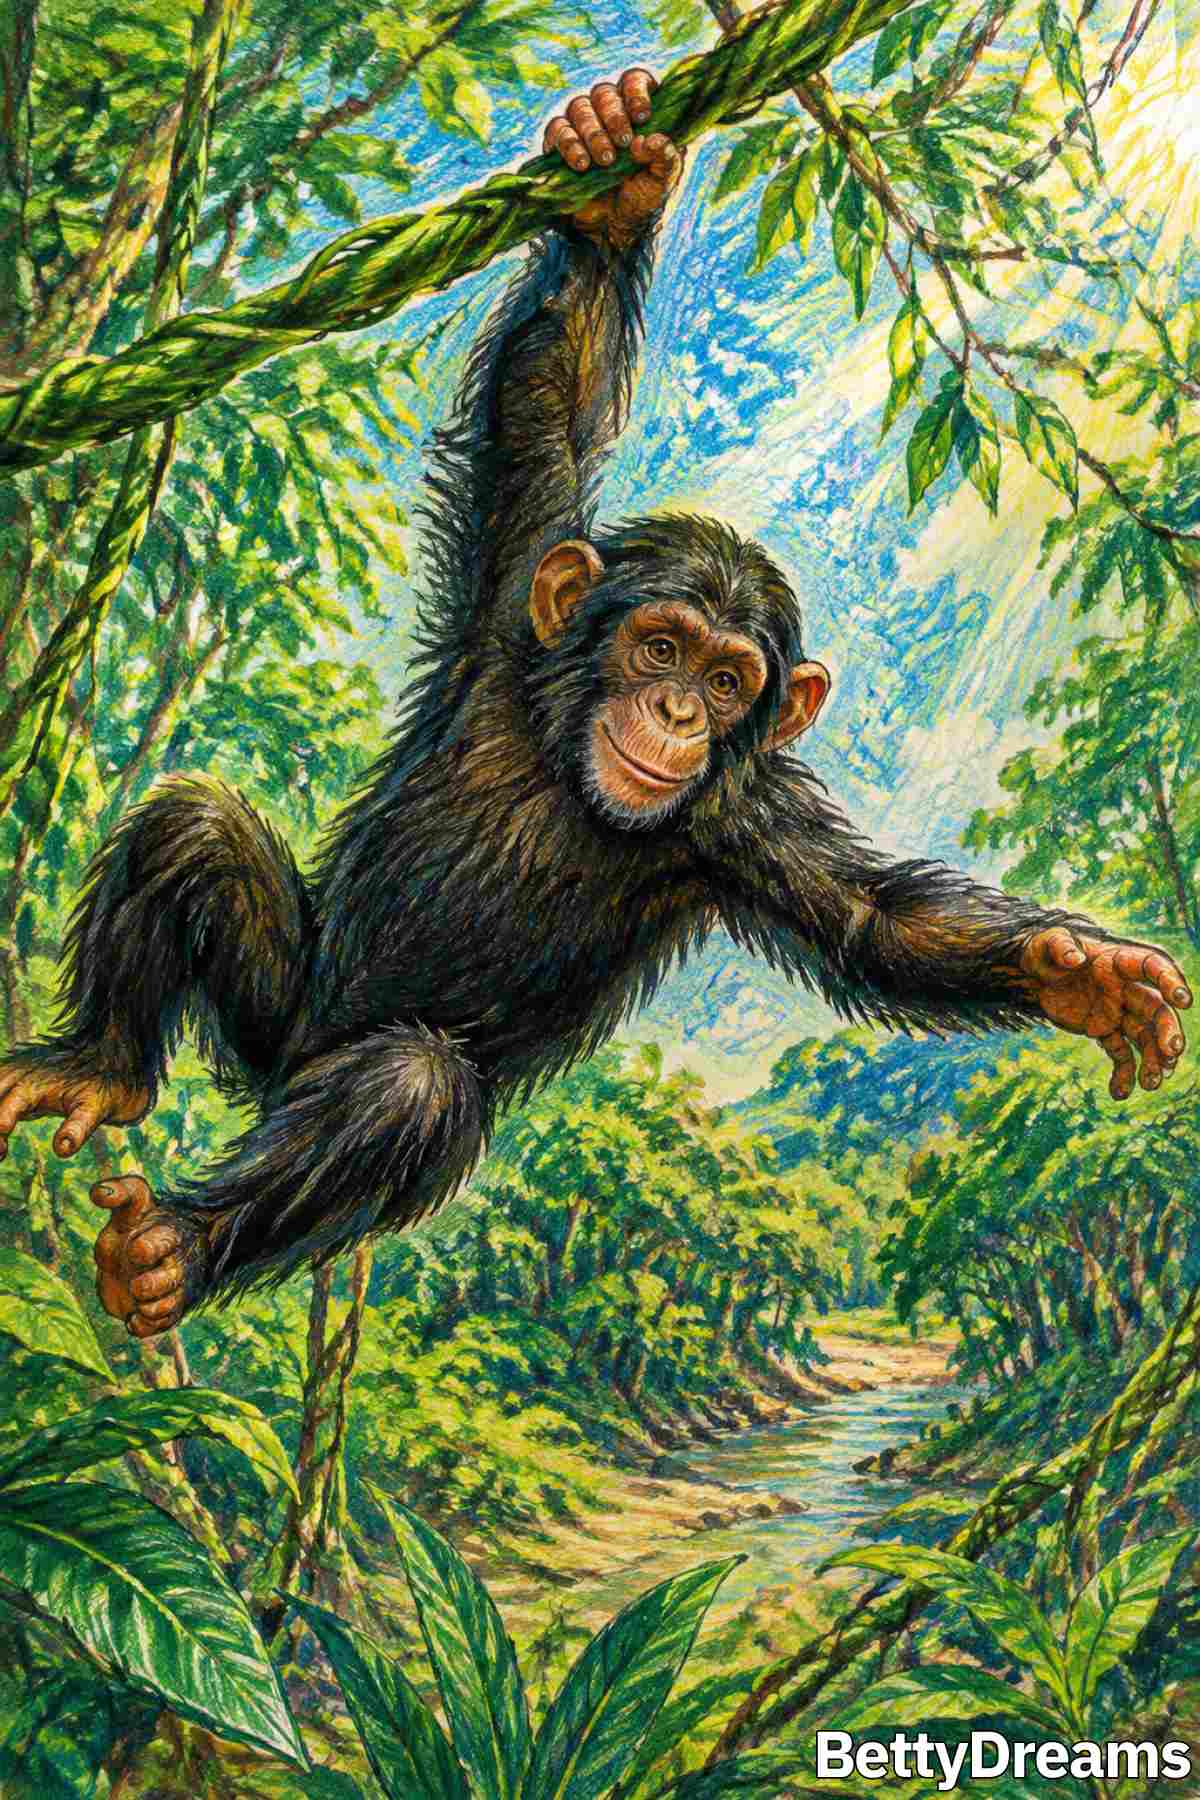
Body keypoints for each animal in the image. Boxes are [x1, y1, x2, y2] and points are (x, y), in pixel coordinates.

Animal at [0, 68, 1190, 1338]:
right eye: (659, 645)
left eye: (726, 681)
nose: (675, 716)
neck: (567, 765)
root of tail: (277, 1074)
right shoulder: (514, 595)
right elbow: (545, 393)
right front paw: (616, 188)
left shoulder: (742, 825)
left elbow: (879, 922)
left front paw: (1080, 975)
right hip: (278, 1002)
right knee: (198, 830)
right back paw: (100, 1069)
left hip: (304, 1065)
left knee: (409, 1087)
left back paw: (175, 1246)